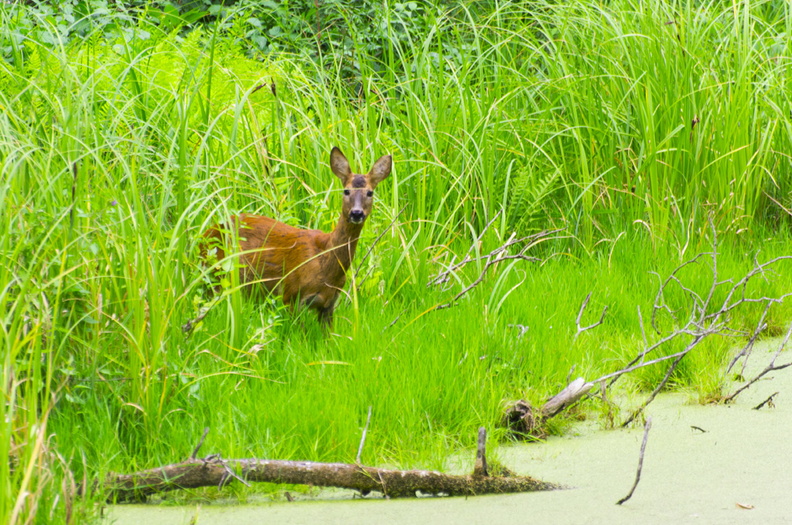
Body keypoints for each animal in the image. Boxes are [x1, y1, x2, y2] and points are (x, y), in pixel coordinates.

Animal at [203, 147, 392, 326]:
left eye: (370, 192)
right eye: (346, 191)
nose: (356, 213)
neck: (326, 263)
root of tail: (205, 234)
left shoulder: (329, 305)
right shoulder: (290, 294)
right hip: (215, 276)